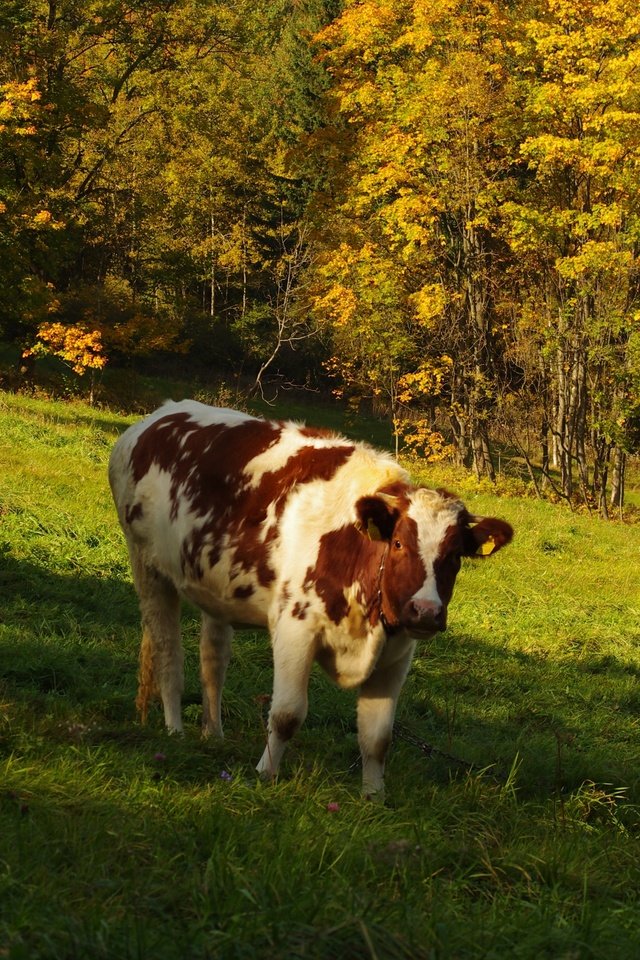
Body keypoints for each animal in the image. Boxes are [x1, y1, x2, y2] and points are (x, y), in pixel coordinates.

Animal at [107, 402, 512, 800]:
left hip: (214, 588)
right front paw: (265, 774)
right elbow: (286, 714)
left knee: (213, 660)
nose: (426, 612)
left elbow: (378, 736)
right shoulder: (294, 629)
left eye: (456, 556)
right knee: (168, 652)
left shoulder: (397, 654)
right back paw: (174, 730)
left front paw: (374, 798)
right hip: (148, 567)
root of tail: (159, 416)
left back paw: (213, 734)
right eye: (398, 543)